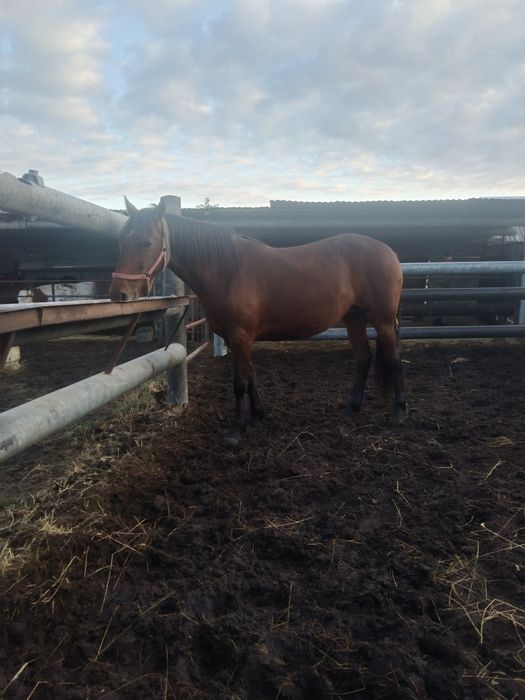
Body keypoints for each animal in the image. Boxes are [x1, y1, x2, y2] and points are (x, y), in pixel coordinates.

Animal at [109, 198, 407, 445]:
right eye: (121, 240)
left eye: (146, 242)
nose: (119, 293)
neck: (227, 270)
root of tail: (388, 252)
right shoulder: (236, 338)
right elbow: (250, 373)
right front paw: (256, 416)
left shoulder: (241, 335)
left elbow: (239, 381)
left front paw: (235, 429)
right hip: (354, 318)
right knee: (363, 358)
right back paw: (350, 409)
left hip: (382, 320)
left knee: (393, 359)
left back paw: (398, 414)